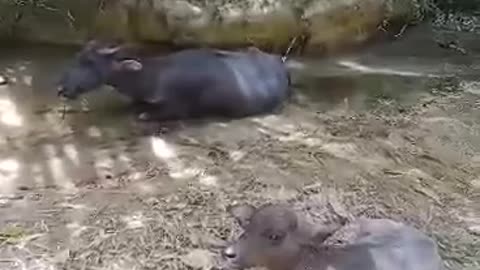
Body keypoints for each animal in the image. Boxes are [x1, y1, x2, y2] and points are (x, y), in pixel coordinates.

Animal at [58, 40, 294, 121]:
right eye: (78, 57)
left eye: (89, 62)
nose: (62, 88)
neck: (154, 77)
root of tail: (280, 63)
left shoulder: (176, 109)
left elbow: (144, 115)